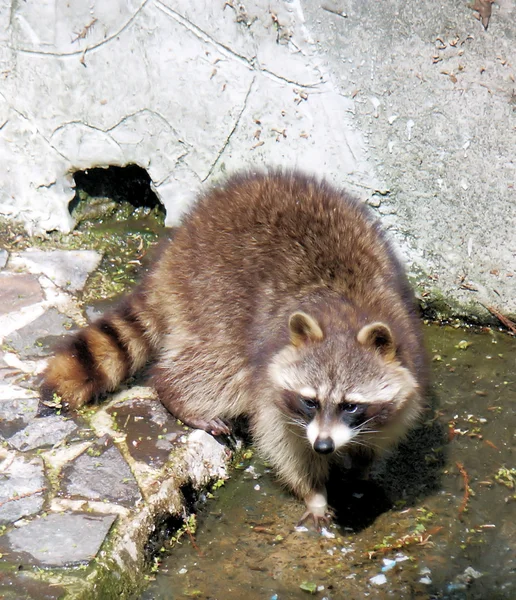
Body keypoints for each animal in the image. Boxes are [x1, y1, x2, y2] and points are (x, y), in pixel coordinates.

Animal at [41, 169, 428, 524]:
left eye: (351, 405)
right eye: (310, 401)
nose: (323, 445)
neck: (344, 316)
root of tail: (179, 241)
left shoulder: (406, 349)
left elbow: (386, 428)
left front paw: (360, 467)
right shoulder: (271, 381)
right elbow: (282, 444)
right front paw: (314, 493)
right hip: (213, 295)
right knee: (218, 365)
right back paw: (177, 391)